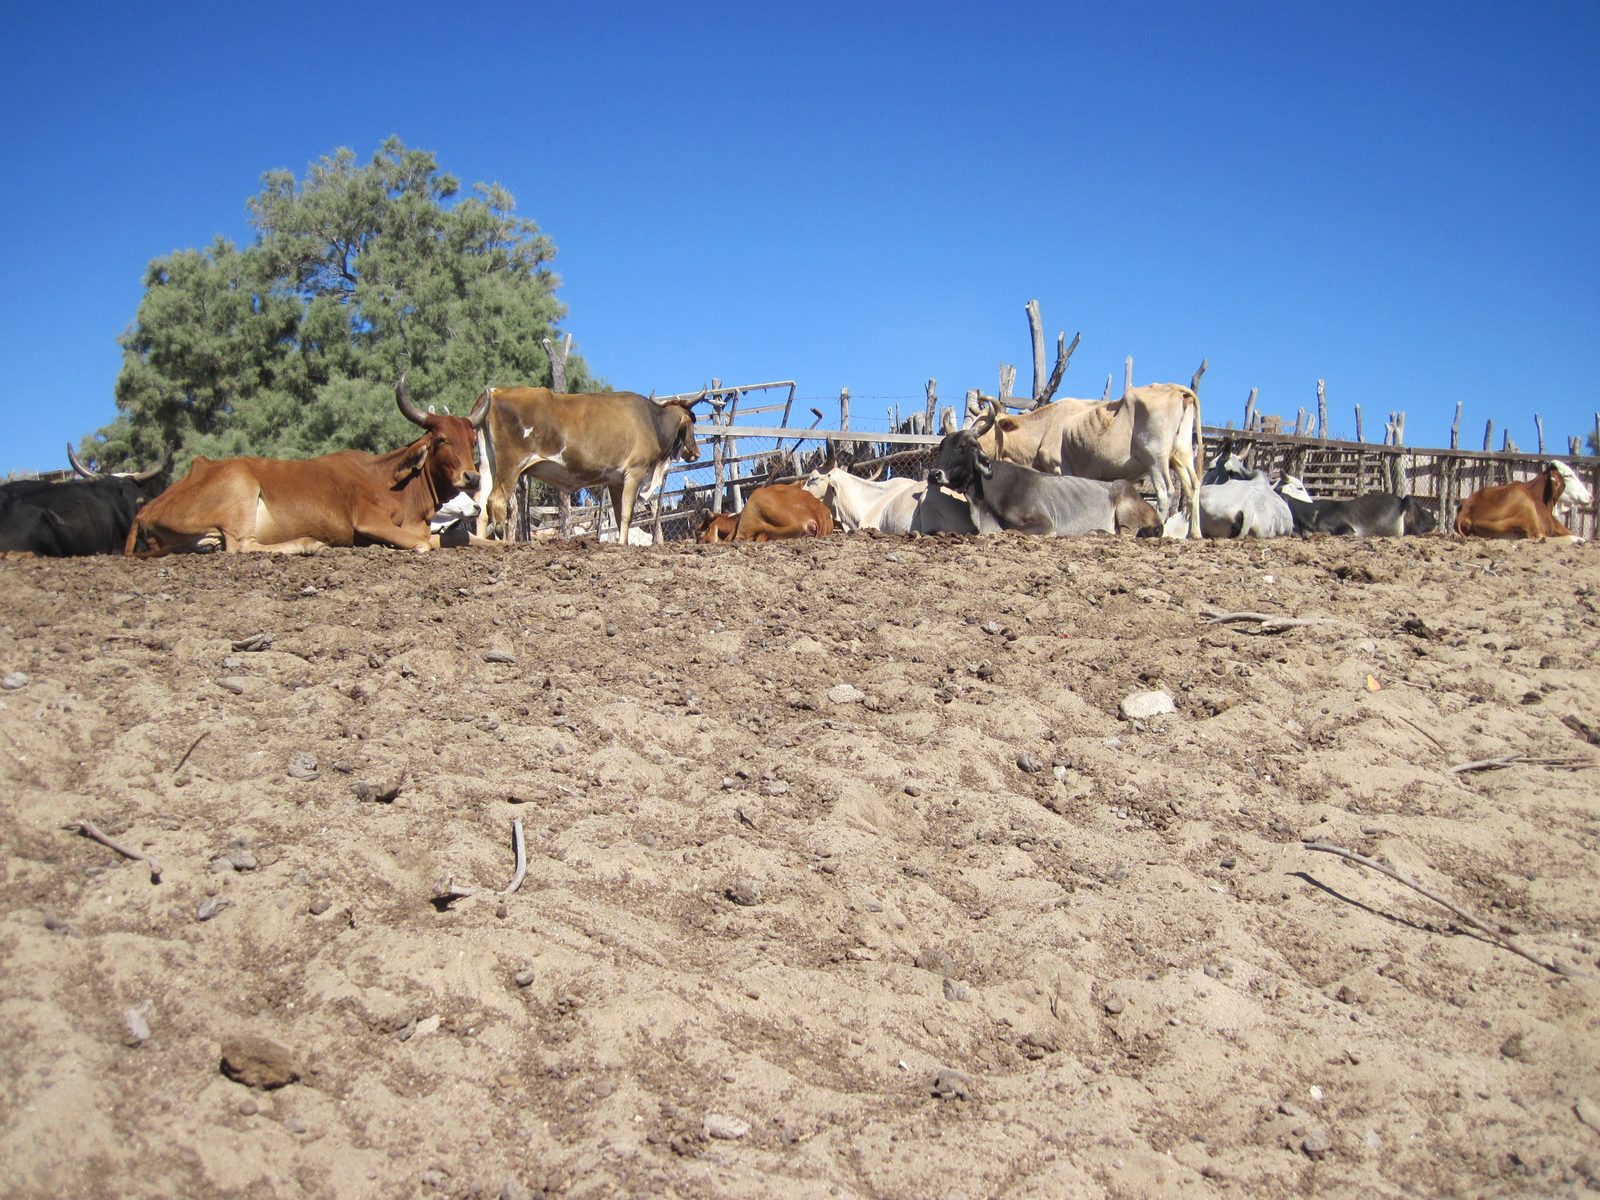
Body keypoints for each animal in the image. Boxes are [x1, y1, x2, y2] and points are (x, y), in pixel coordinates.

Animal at [124, 377, 482, 556]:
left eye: (472, 441)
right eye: (441, 439)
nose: (472, 477)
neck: (397, 484)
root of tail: (146, 508)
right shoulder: (369, 521)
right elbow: (423, 544)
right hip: (241, 483)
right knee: (240, 546)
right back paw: (309, 544)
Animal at [472, 387, 704, 543]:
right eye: (692, 421)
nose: (696, 453)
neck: (653, 422)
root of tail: (495, 392)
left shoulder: (616, 481)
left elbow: (619, 515)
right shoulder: (635, 472)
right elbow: (627, 515)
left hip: (489, 465)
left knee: (481, 505)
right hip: (510, 466)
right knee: (496, 501)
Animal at [975, 384, 1203, 538]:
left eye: (984, 426)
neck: (1047, 425)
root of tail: (1174, 388)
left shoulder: (1060, 467)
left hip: (1155, 458)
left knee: (1167, 492)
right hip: (1180, 455)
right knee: (1192, 486)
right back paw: (1194, 534)